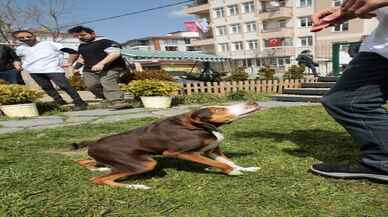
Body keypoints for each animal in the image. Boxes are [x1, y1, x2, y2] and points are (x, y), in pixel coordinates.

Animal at [74, 101, 262, 188]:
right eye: (218, 110)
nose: (253, 102)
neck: (199, 126)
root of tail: (92, 145)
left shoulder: (212, 150)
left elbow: (229, 161)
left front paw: (245, 168)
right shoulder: (182, 153)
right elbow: (221, 164)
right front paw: (232, 172)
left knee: (84, 162)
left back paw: (101, 167)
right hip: (147, 163)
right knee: (98, 180)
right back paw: (137, 186)